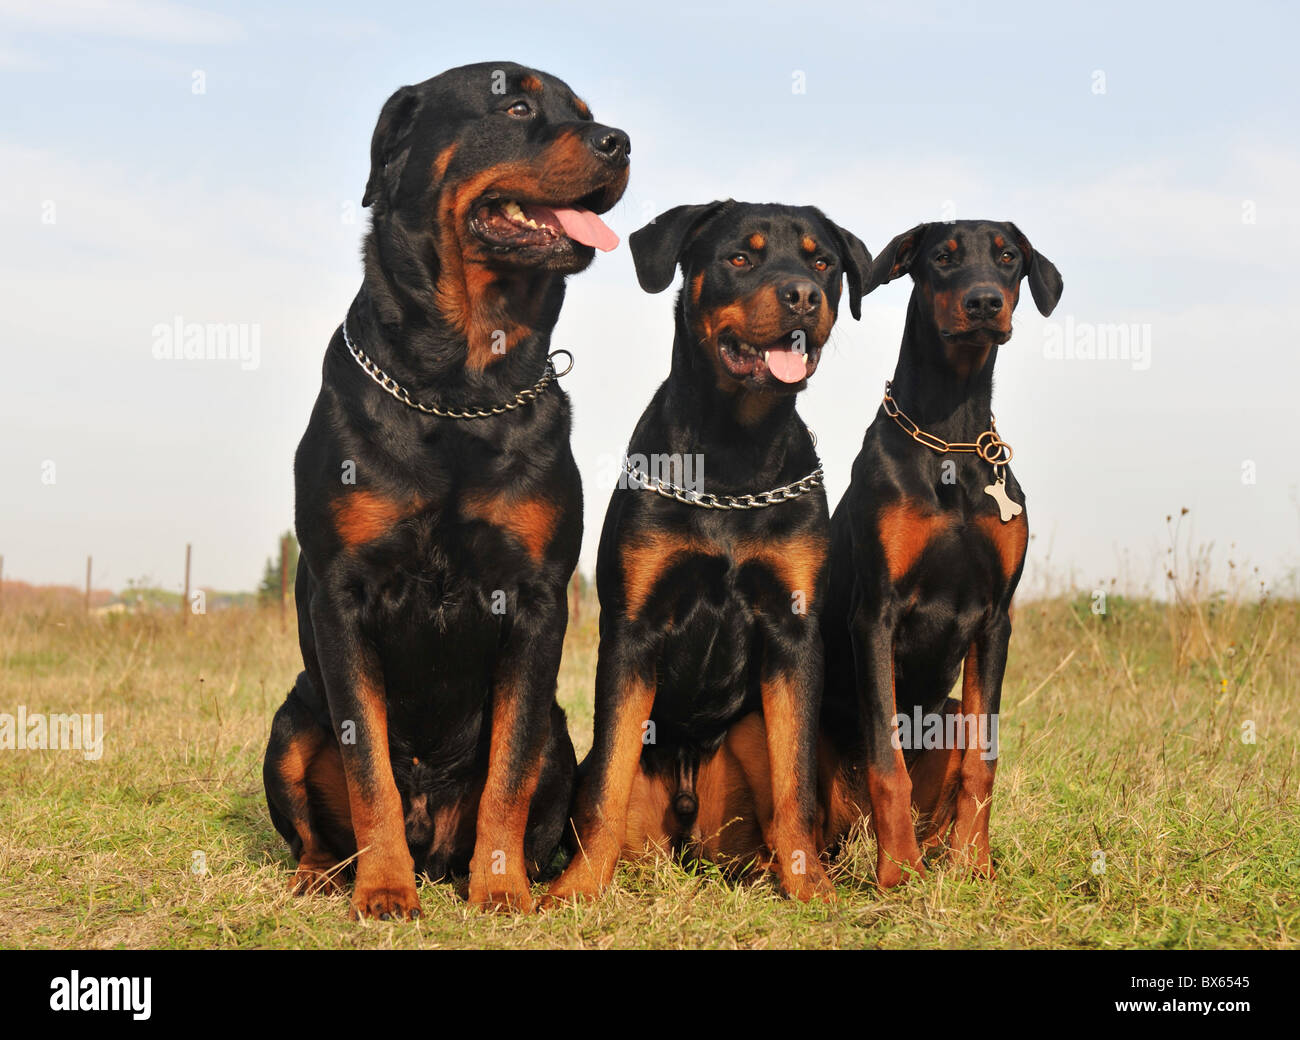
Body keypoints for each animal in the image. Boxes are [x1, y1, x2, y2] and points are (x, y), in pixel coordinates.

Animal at [261, 63, 626, 920]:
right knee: (315, 818)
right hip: (290, 720)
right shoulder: (341, 593)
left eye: (587, 113)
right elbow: (368, 768)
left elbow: (509, 770)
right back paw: (323, 875)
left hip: (564, 735)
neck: (458, 387)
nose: (619, 141)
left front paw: (500, 887)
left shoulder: (536, 598)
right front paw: (384, 890)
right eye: (515, 104)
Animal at [543, 201, 868, 899]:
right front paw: (578, 890)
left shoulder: (794, 631)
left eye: (822, 262)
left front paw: (810, 886)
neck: (732, 462)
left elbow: (796, 779)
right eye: (739, 257)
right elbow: (606, 783)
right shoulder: (634, 625)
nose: (802, 295)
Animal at [821, 217, 1055, 883]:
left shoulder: (996, 619)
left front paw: (974, 864)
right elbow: (886, 760)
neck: (951, 435)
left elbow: (985, 757)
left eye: (1008, 257)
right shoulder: (875, 613)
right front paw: (898, 870)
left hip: (945, 713)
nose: (984, 303)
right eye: (944, 258)